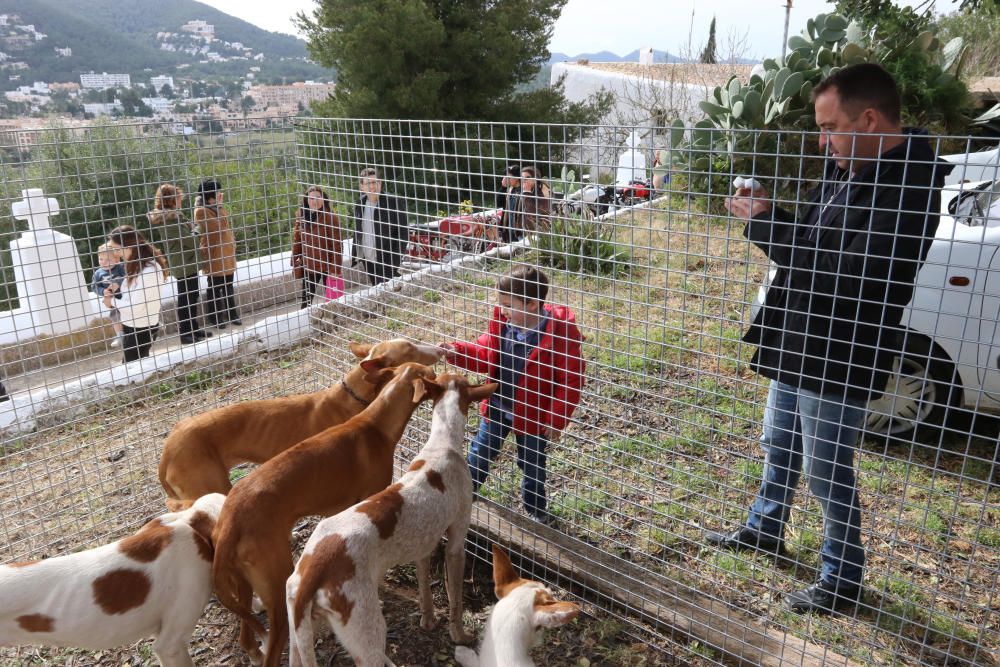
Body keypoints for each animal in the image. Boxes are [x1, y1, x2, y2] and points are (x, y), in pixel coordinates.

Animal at [211, 362, 438, 667]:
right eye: (431, 373)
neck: (375, 424)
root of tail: (230, 521)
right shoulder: (369, 501)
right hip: (277, 591)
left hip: (245, 587)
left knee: (247, 637)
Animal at [286, 376, 496, 667]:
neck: (442, 443)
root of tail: (314, 568)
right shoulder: (456, 543)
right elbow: (455, 600)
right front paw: (460, 635)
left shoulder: (423, 548)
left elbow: (425, 589)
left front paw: (428, 621)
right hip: (368, 632)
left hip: (299, 634)